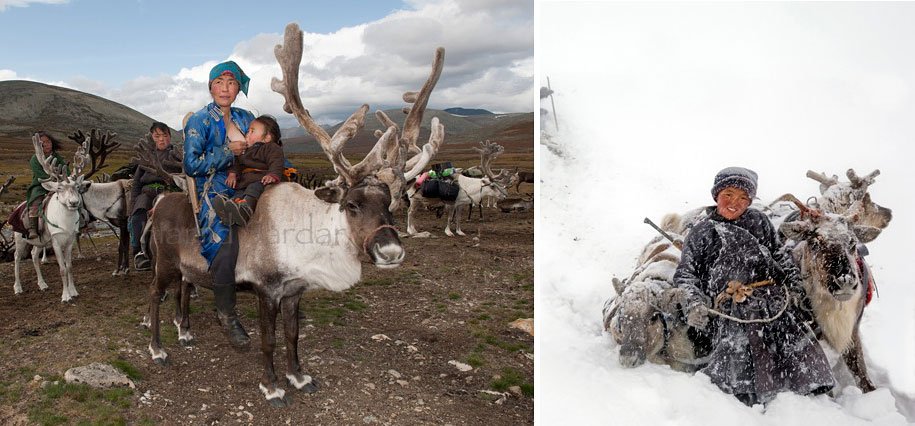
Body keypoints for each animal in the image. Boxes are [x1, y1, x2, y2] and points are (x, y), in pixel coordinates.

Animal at [12, 134, 89, 302]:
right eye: (59, 188)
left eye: (77, 187)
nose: (74, 203)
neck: (66, 222)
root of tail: (17, 207)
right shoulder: (56, 241)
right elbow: (62, 269)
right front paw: (65, 295)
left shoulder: (69, 241)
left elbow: (69, 267)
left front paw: (73, 291)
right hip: (20, 239)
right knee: (17, 258)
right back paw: (18, 287)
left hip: (39, 241)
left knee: (34, 256)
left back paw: (42, 284)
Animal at [142, 22, 443, 407]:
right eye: (352, 204)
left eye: (391, 202)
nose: (390, 251)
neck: (310, 237)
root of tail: (161, 199)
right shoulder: (266, 289)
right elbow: (269, 341)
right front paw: (271, 386)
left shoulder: (294, 291)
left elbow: (293, 335)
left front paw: (299, 377)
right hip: (163, 262)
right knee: (155, 293)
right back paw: (157, 349)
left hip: (183, 267)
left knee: (183, 286)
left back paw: (184, 332)